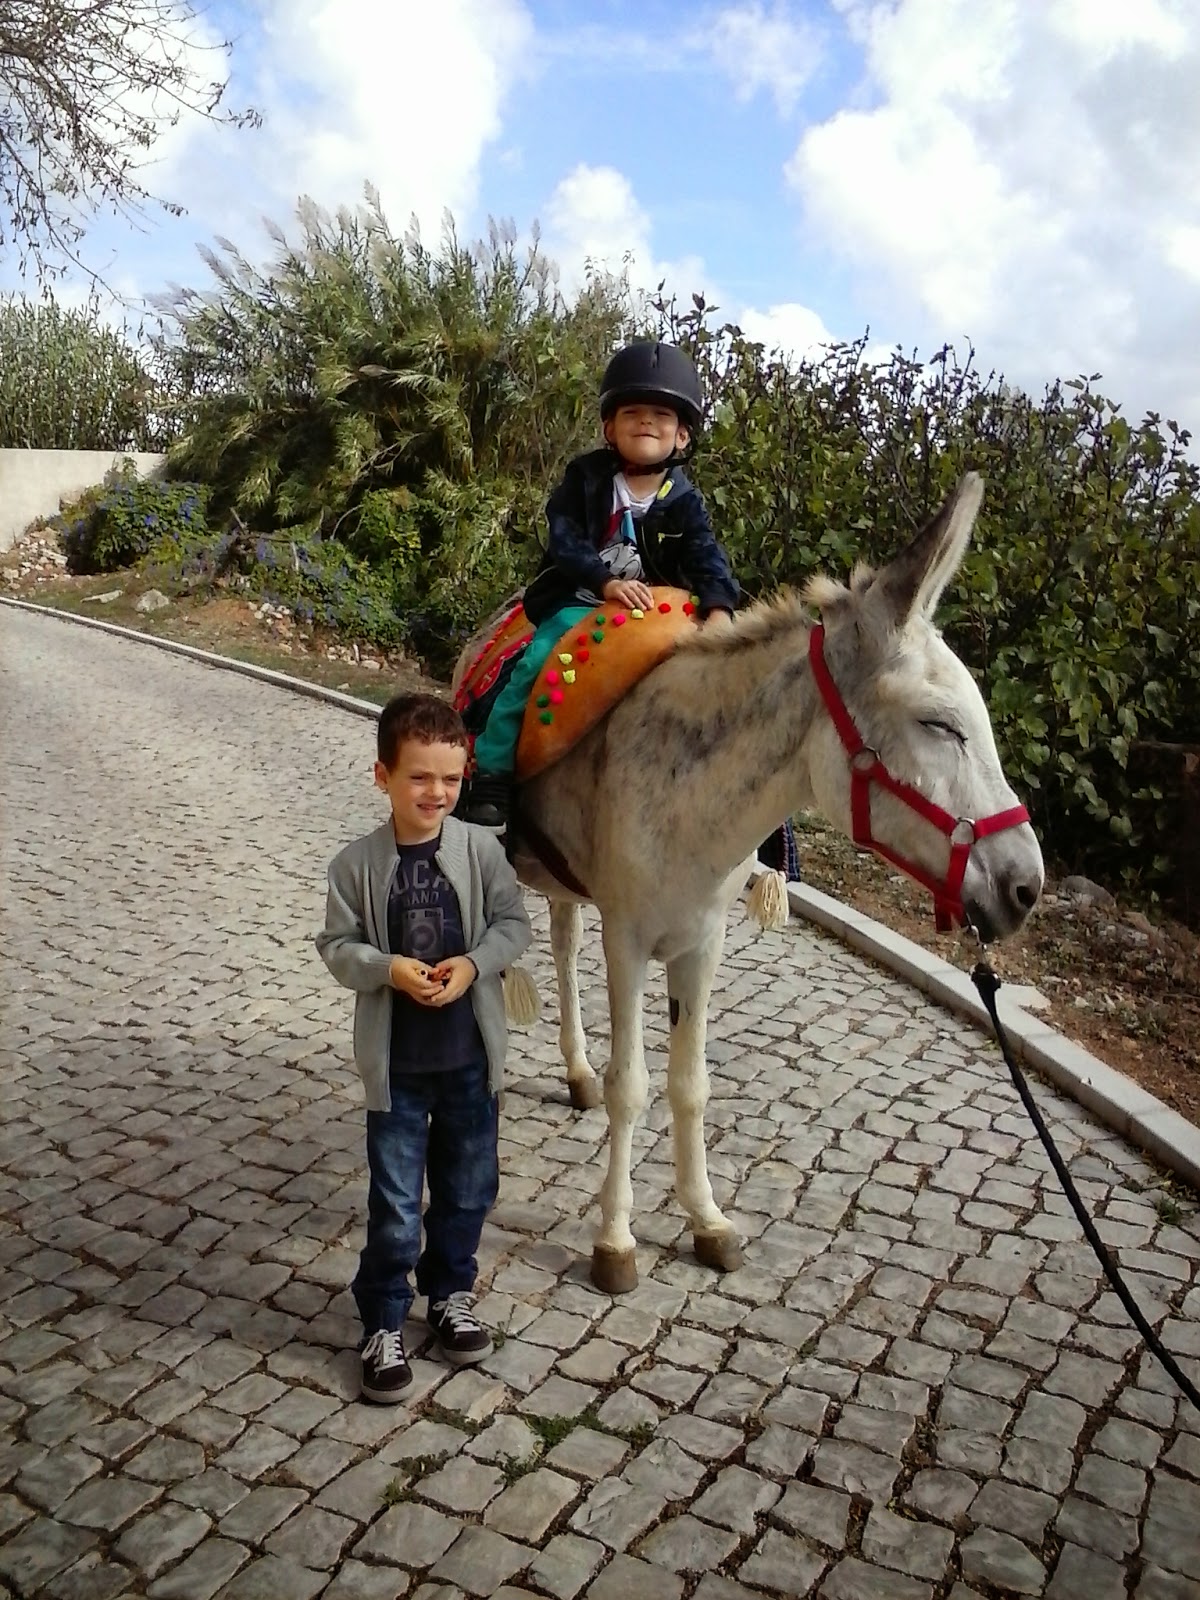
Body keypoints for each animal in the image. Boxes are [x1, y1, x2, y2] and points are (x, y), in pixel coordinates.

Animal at [453, 474, 1044, 1294]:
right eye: (940, 725)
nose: (1027, 887)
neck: (692, 787)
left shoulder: (702, 941)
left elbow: (689, 1083)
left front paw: (706, 1221)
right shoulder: (630, 939)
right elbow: (633, 1085)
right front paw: (615, 1241)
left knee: (566, 941)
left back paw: (573, 1071)